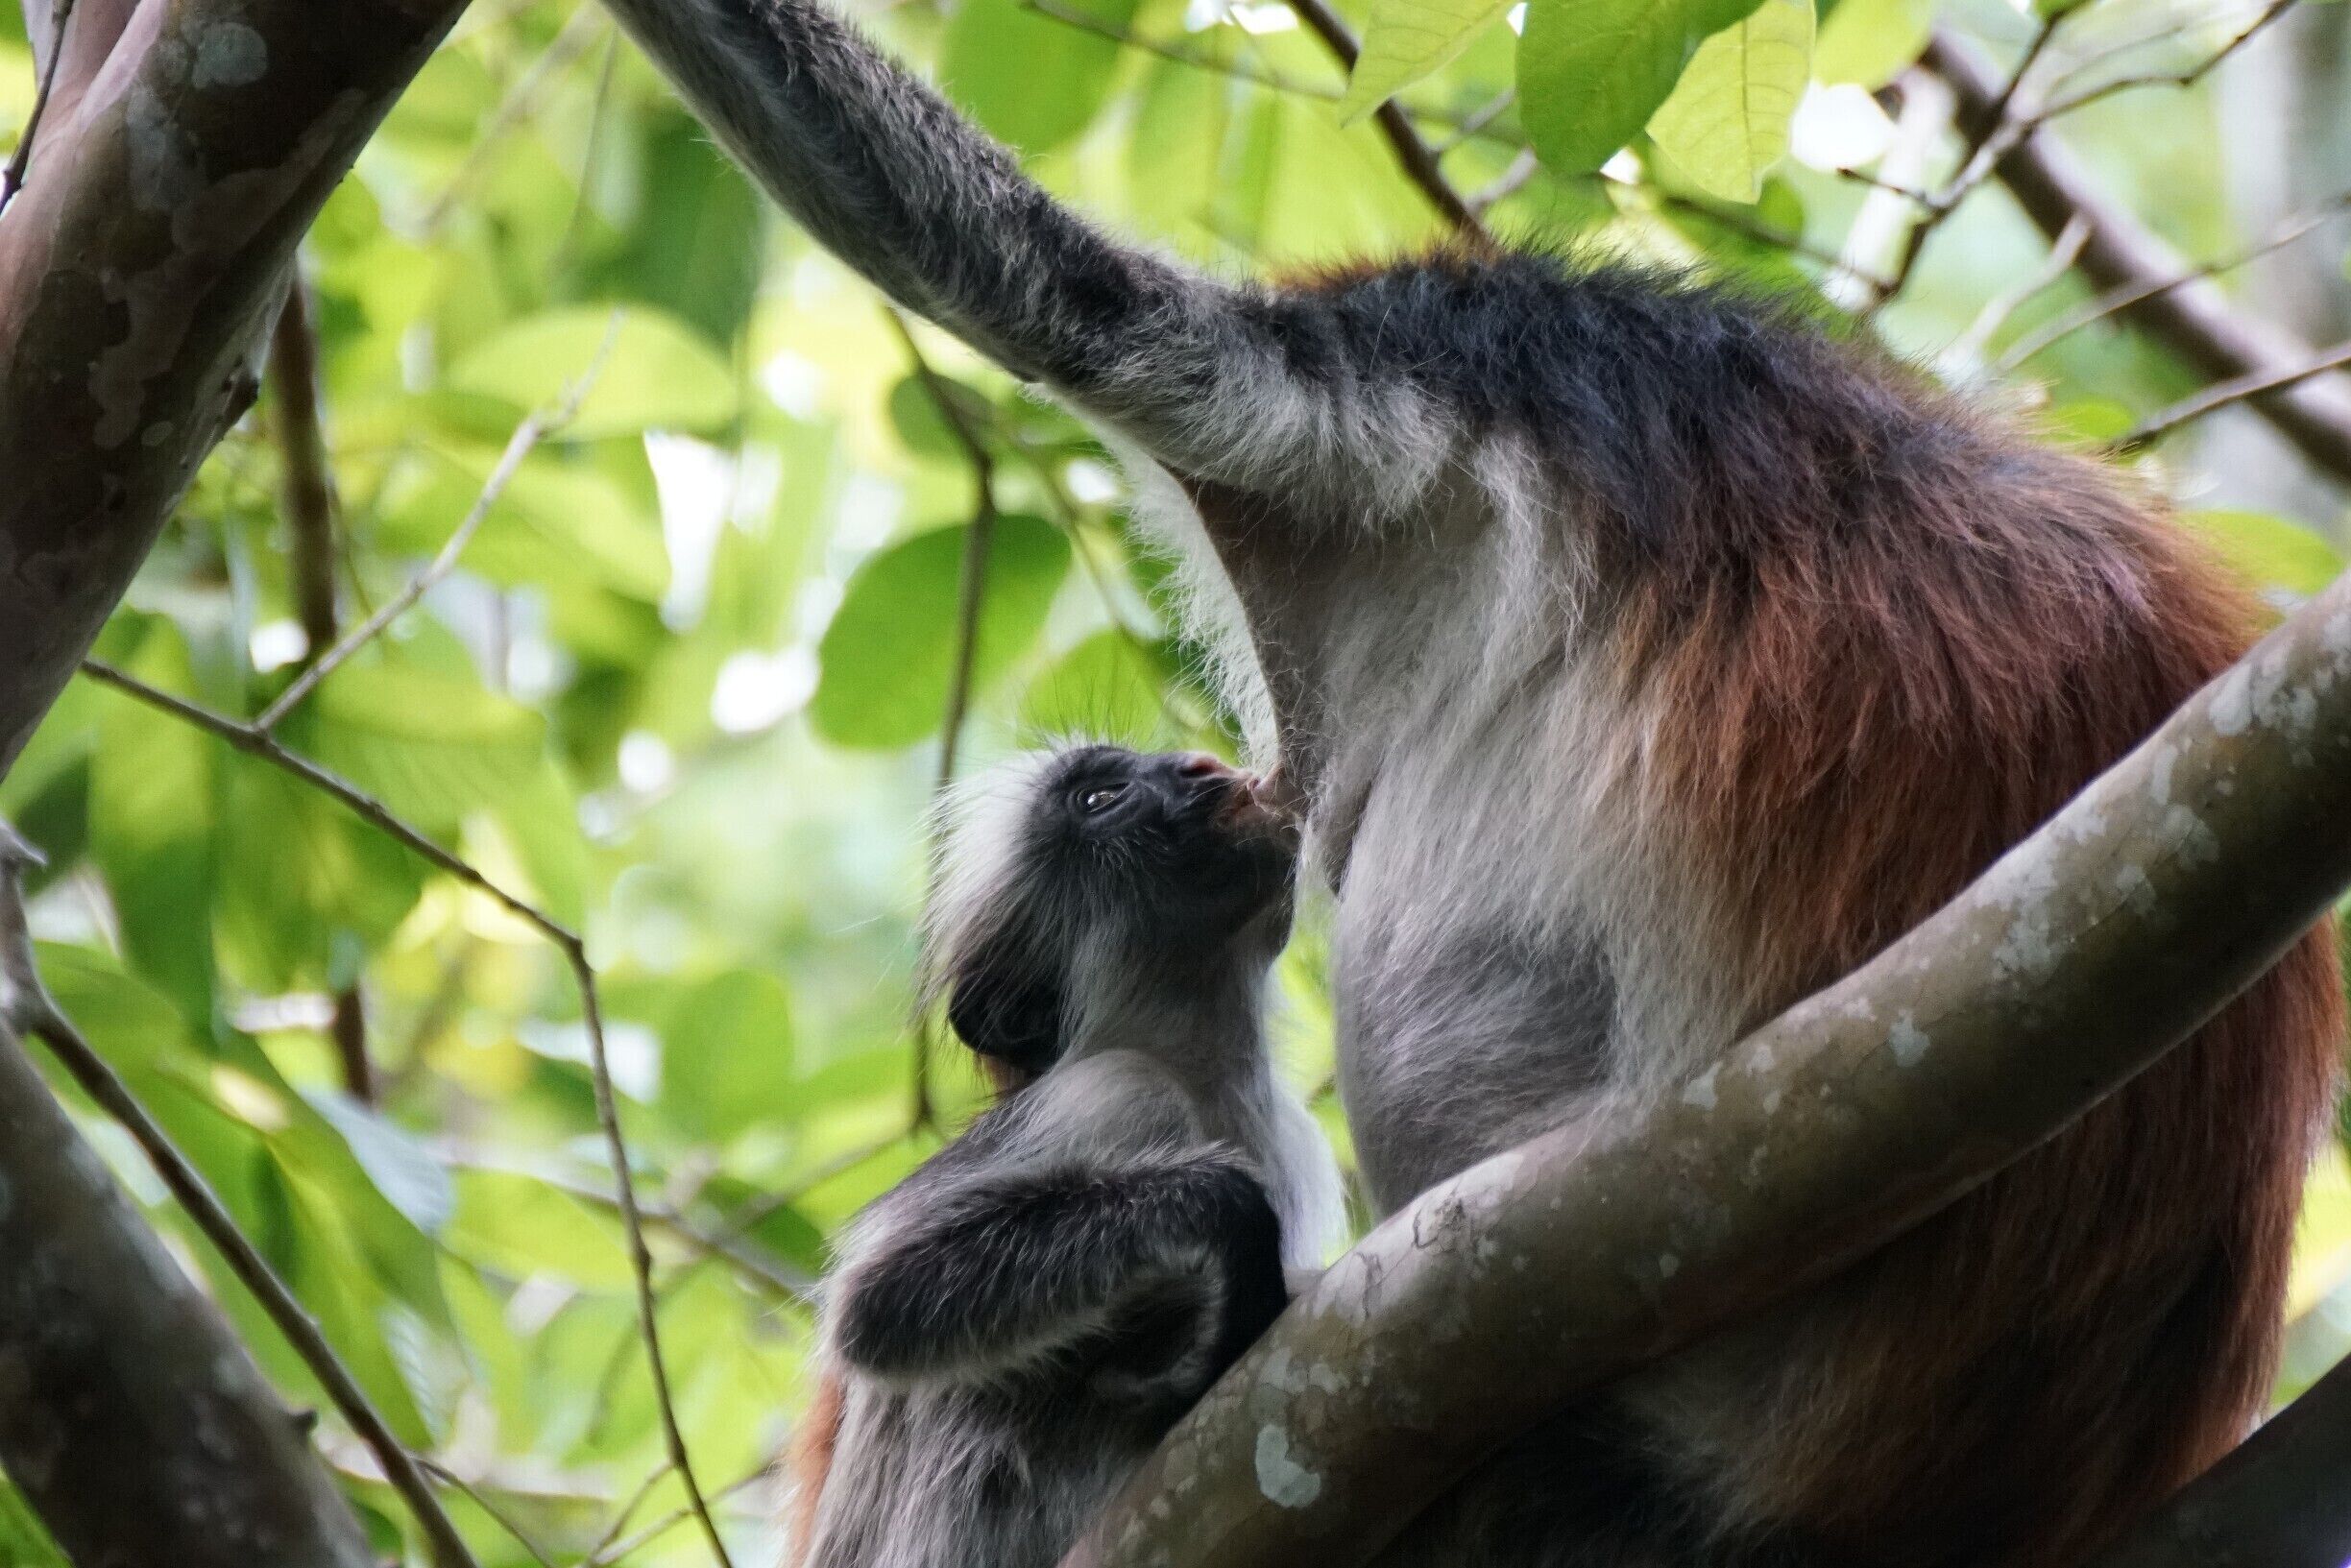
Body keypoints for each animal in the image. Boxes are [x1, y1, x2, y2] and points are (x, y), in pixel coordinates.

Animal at [781, 744, 1345, 1568]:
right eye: (1099, 797)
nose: (1198, 763)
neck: (1207, 1071)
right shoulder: (1111, 1090)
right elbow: (876, 1304)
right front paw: (1234, 1226)